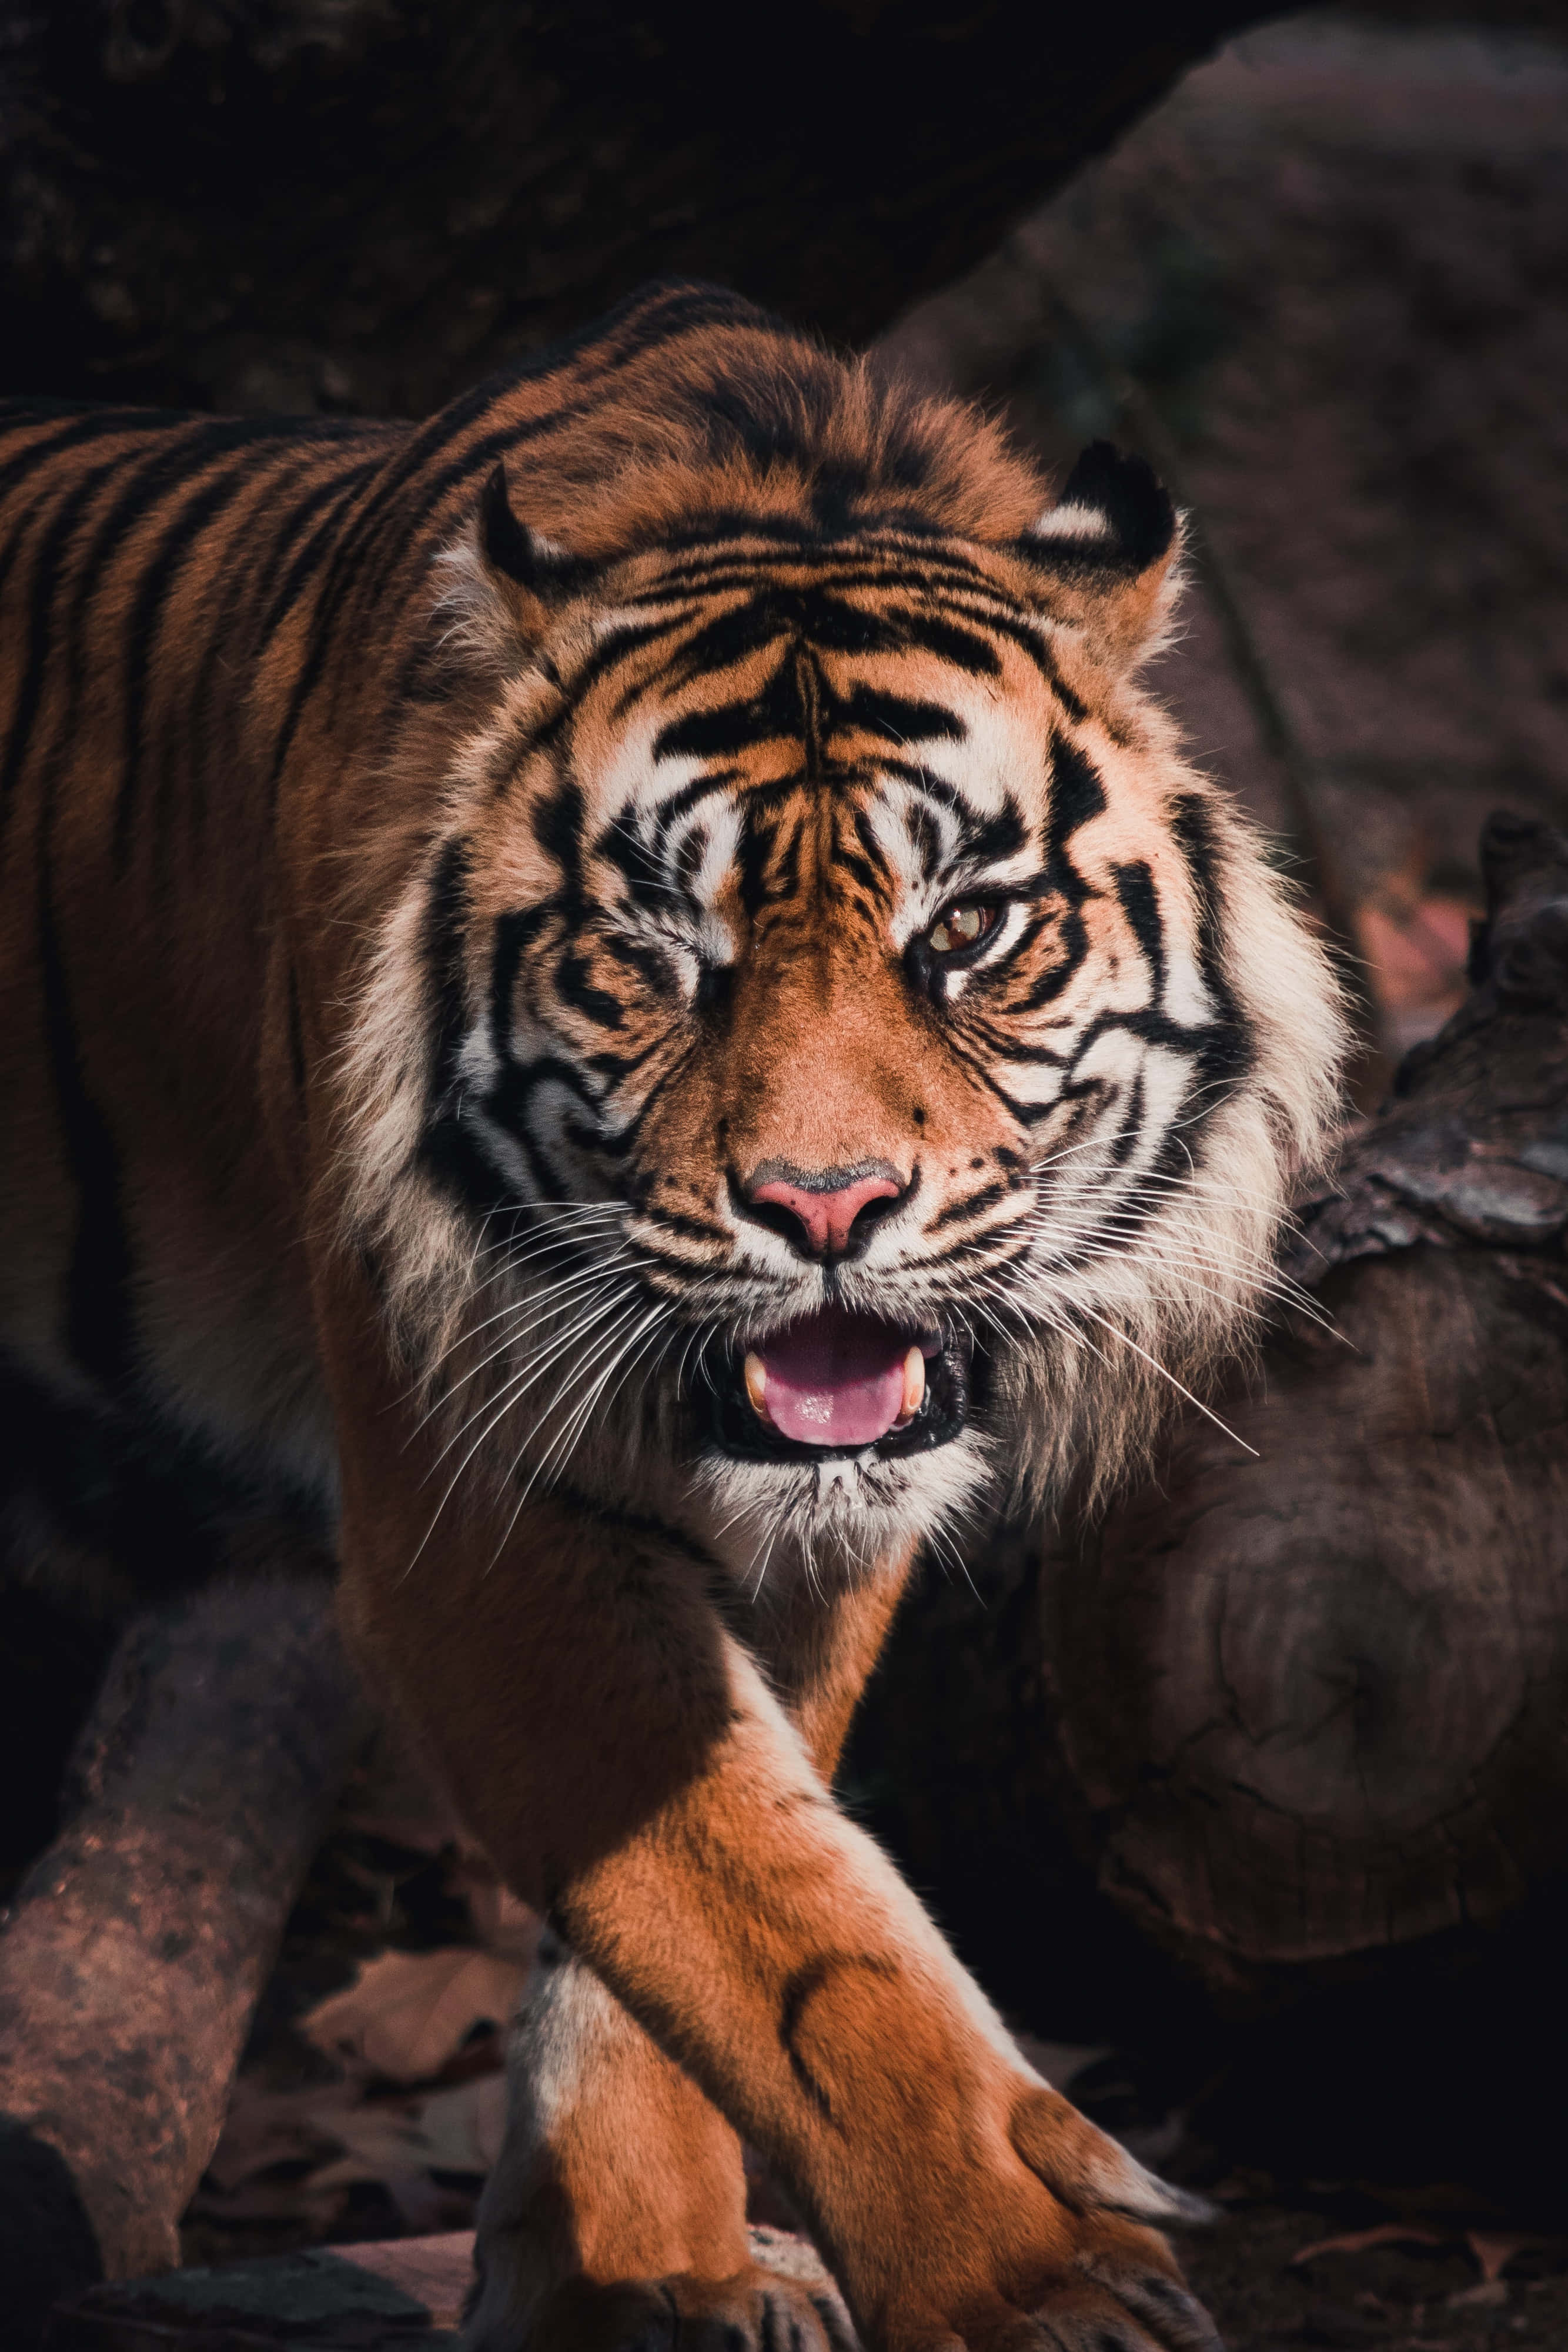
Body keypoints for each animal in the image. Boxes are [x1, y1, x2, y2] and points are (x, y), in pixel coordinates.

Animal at [0, 281, 1343, 2351]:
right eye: (653, 958)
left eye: (965, 934)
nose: (824, 1208)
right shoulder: (471, 1511)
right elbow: (772, 1924)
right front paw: (1028, 2273)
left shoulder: (802, 1547)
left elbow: (713, 1890)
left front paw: (645, 2269)